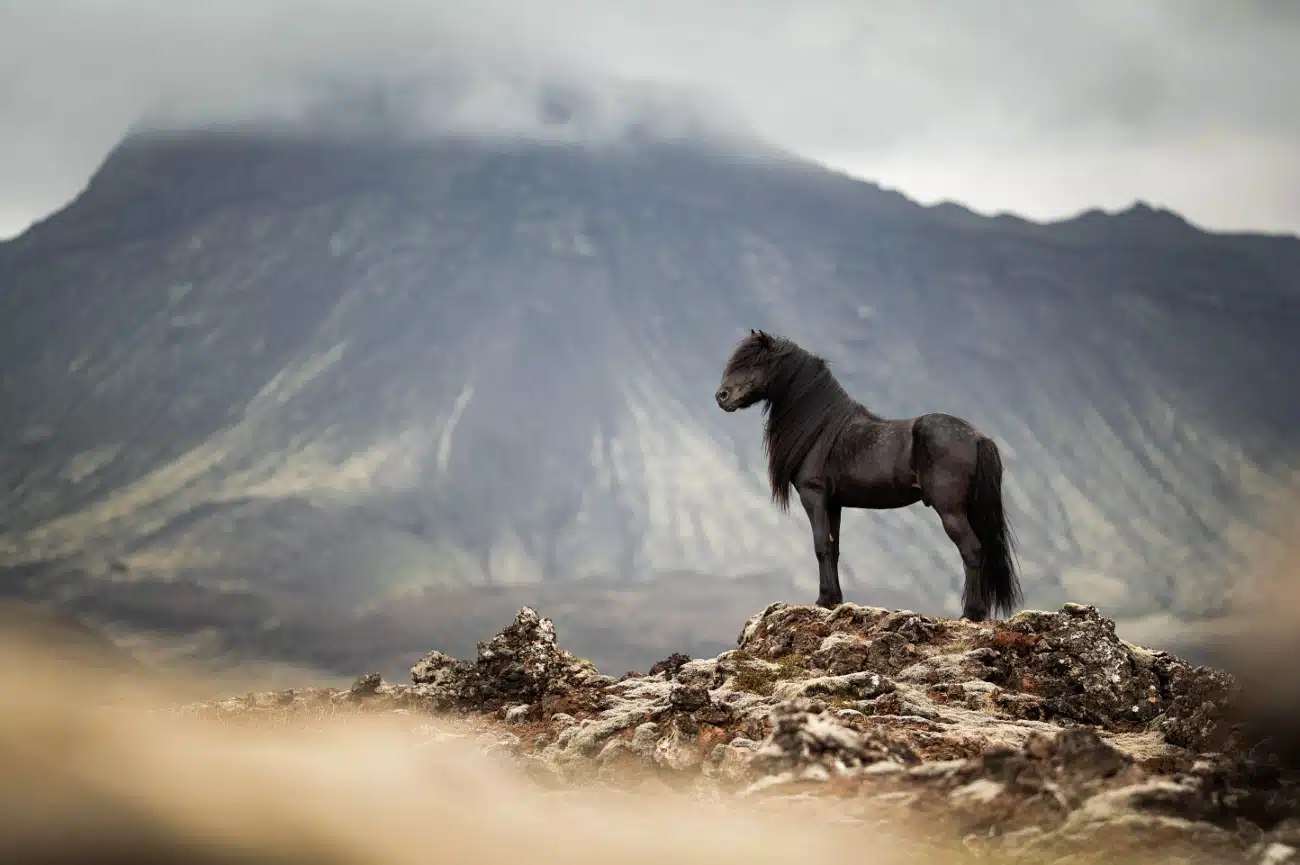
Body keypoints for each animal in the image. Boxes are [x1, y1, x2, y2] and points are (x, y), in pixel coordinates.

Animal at [717, 330, 1019, 621]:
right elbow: (834, 548)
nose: (722, 396)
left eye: (754, 363)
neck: (822, 428)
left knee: (972, 550)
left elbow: (820, 545)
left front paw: (823, 600)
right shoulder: (833, 503)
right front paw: (835, 599)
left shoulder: (813, 495)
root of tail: (978, 437)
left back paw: (971, 613)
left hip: (950, 510)